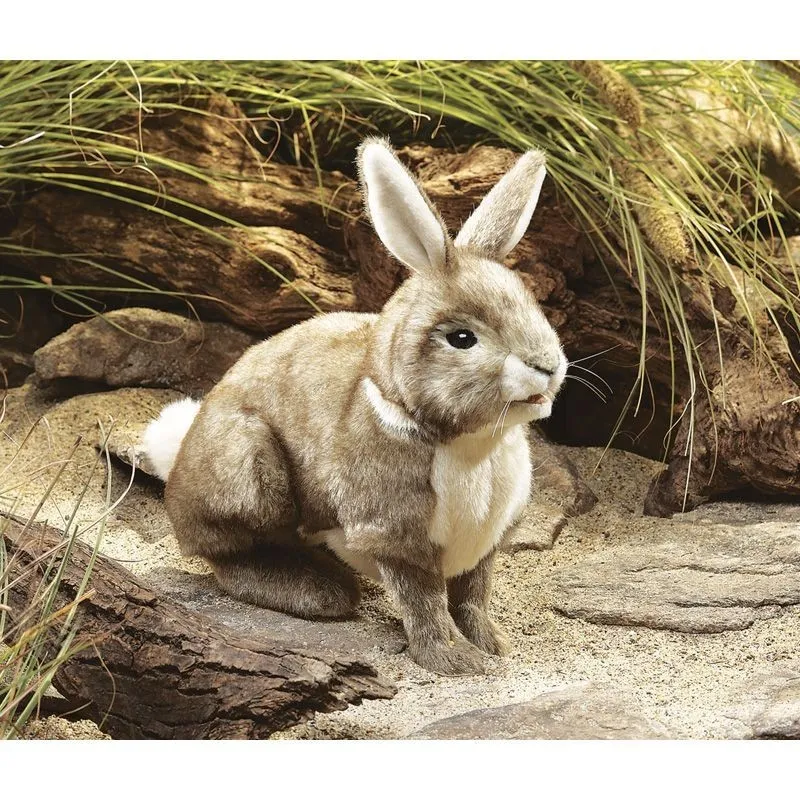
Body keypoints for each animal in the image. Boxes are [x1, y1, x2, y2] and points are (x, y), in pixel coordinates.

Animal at [142, 138, 567, 675]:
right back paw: (318, 592)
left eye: (534, 306)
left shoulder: (485, 544)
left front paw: (493, 645)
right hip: (251, 471)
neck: (475, 445)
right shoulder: (396, 536)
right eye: (462, 338)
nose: (548, 366)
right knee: (229, 557)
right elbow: (425, 603)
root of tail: (178, 461)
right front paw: (455, 662)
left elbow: (473, 596)